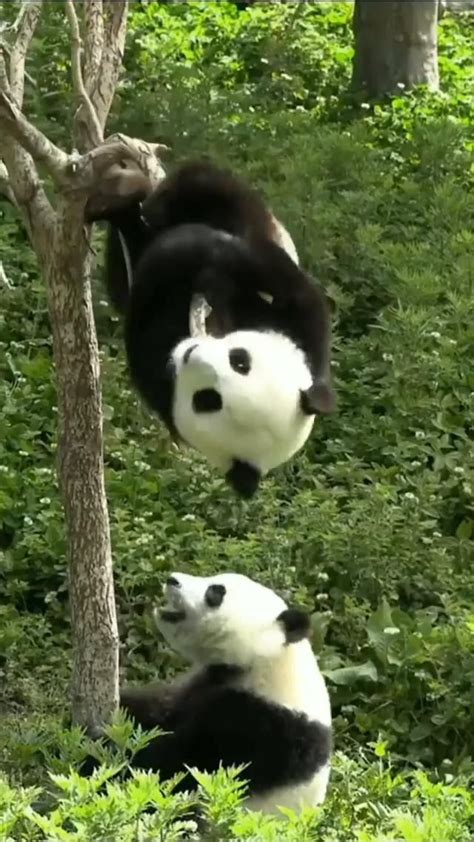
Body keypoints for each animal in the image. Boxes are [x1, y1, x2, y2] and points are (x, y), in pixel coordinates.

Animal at [85, 160, 335, 497]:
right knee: (210, 187)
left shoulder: (164, 394)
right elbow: (293, 289)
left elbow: (147, 318)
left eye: (207, 400)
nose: (192, 353)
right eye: (240, 360)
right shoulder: (301, 331)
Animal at [107, 571, 332, 815]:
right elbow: (155, 709)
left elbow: (174, 764)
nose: (172, 579)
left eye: (216, 592)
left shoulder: (260, 728)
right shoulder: (203, 685)